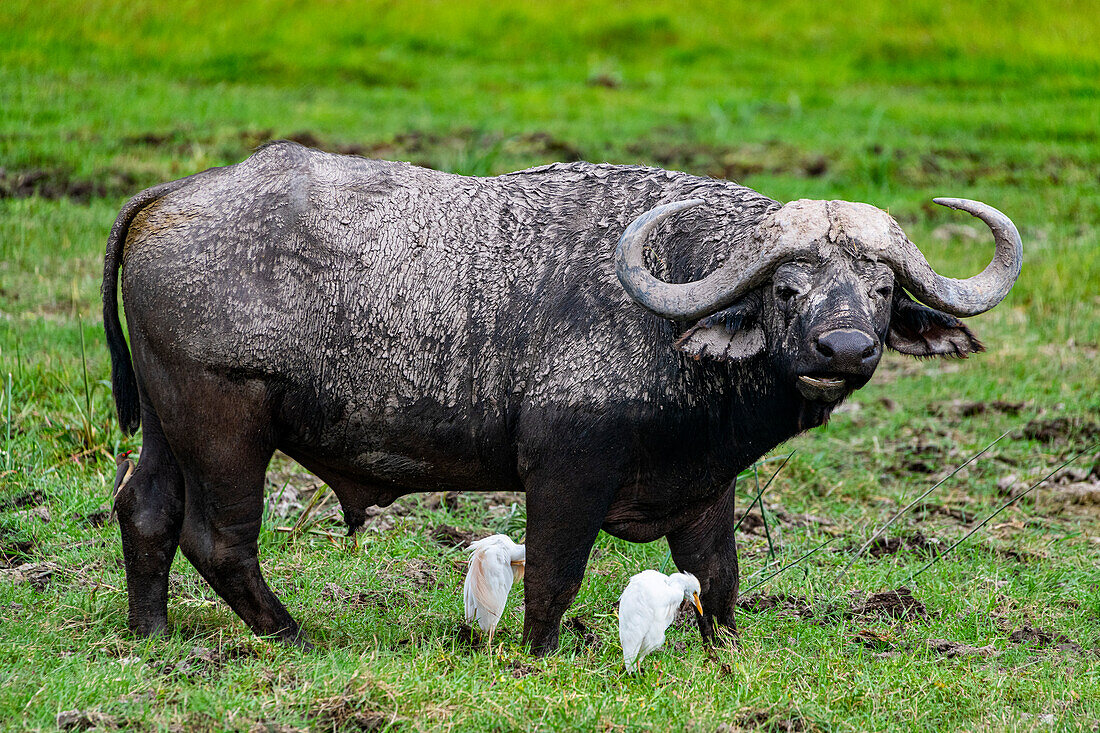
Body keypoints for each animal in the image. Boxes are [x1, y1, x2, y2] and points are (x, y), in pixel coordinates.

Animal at [105, 143, 1020, 651]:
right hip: (226, 422)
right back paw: (294, 633)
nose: (846, 349)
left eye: (880, 287)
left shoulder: (706, 483)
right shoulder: (566, 470)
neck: (672, 303)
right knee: (219, 538)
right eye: (787, 288)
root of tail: (174, 194)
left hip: (166, 422)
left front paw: (727, 650)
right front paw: (540, 652)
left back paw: (152, 631)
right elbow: (553, 573)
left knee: (144, 508)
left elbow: (719, 577)